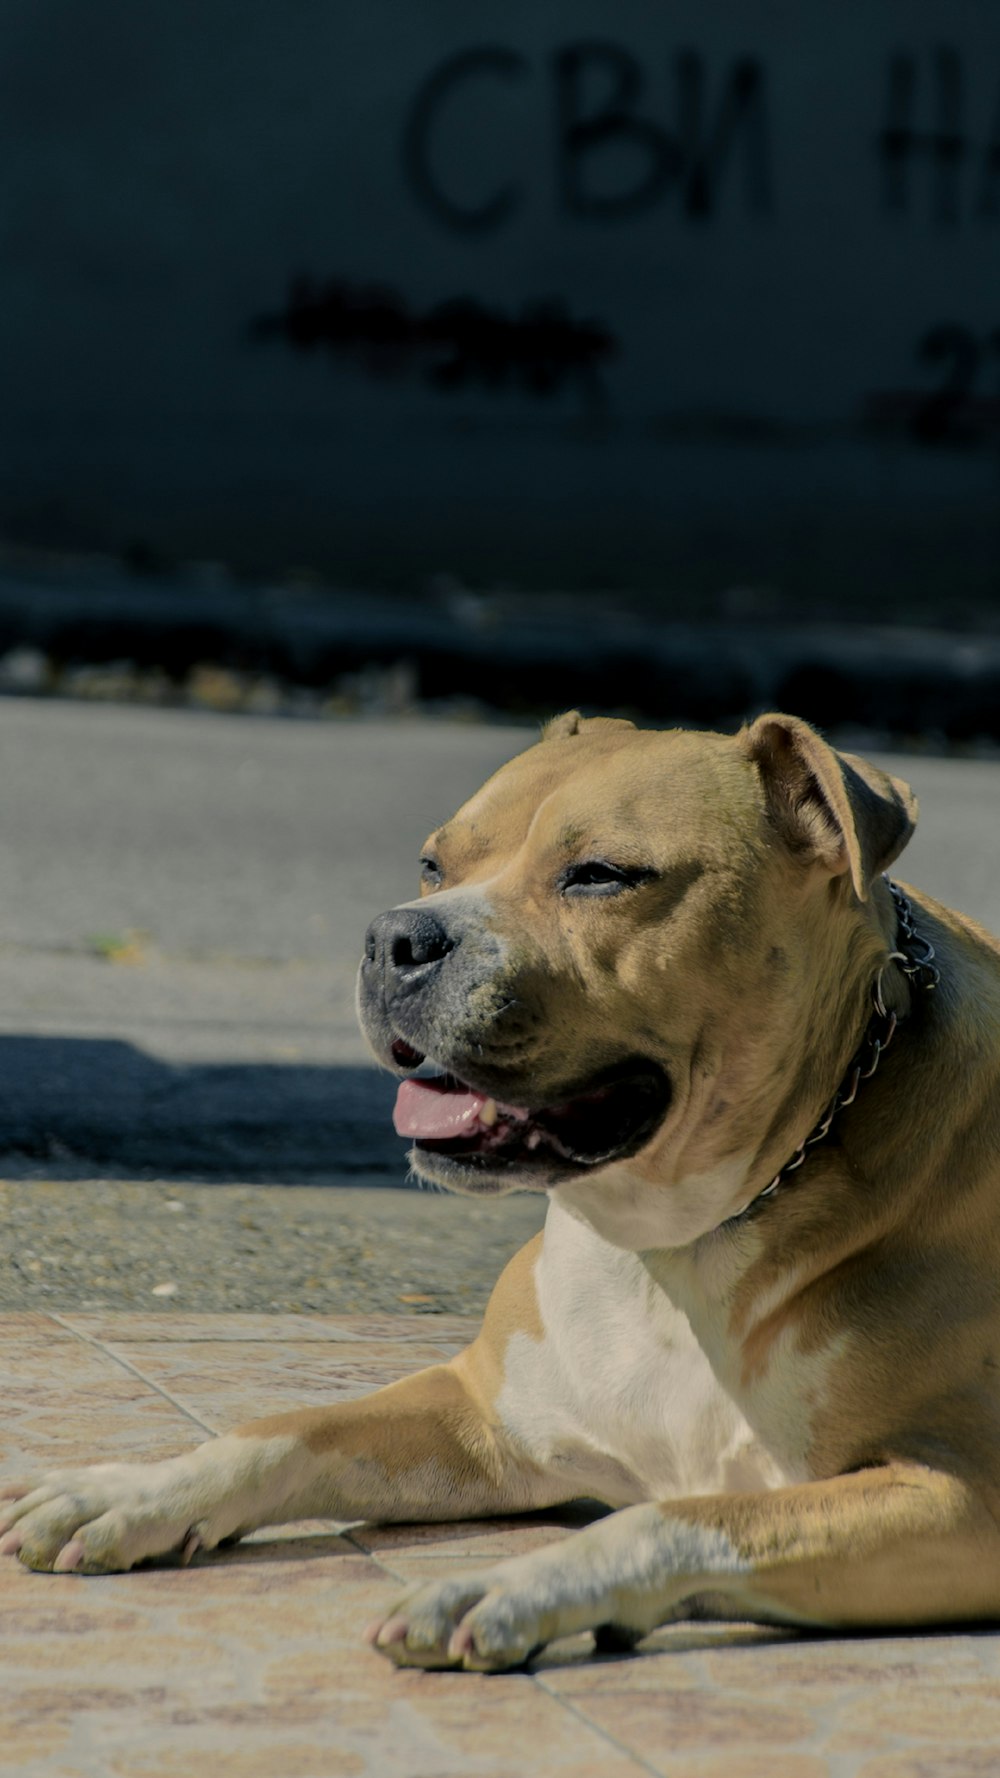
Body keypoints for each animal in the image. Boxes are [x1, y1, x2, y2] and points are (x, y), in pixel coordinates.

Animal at [1, 711, 996, 1664]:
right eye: (432, 863)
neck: (675, 1246)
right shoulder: (479, 1416)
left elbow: (675, 1518)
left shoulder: (959, 1499)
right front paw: (130, 1491)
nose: (394, 937)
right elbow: (287, 1428)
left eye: (600, 875)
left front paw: (502, 1588)